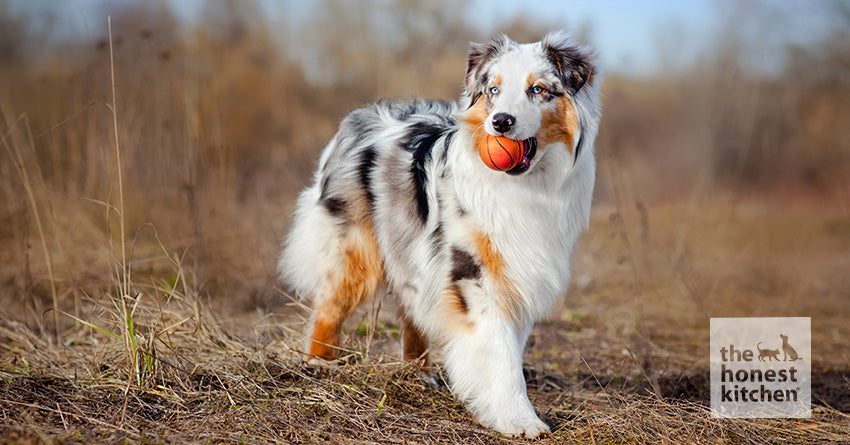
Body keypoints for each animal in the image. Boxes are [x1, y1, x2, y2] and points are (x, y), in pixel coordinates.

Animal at [278, 31, 596, 438]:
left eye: (538, 89)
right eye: (493, 90)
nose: (501, 122)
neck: (525, 186)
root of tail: (358, 118)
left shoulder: (517, 274)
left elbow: (507, 347)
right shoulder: (474, 274)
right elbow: (501, 353)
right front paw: (519, 420)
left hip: (412, 252)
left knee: (411, 310)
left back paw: (419, 373)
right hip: (356, 250)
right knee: (330, 306)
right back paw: (319, 364)